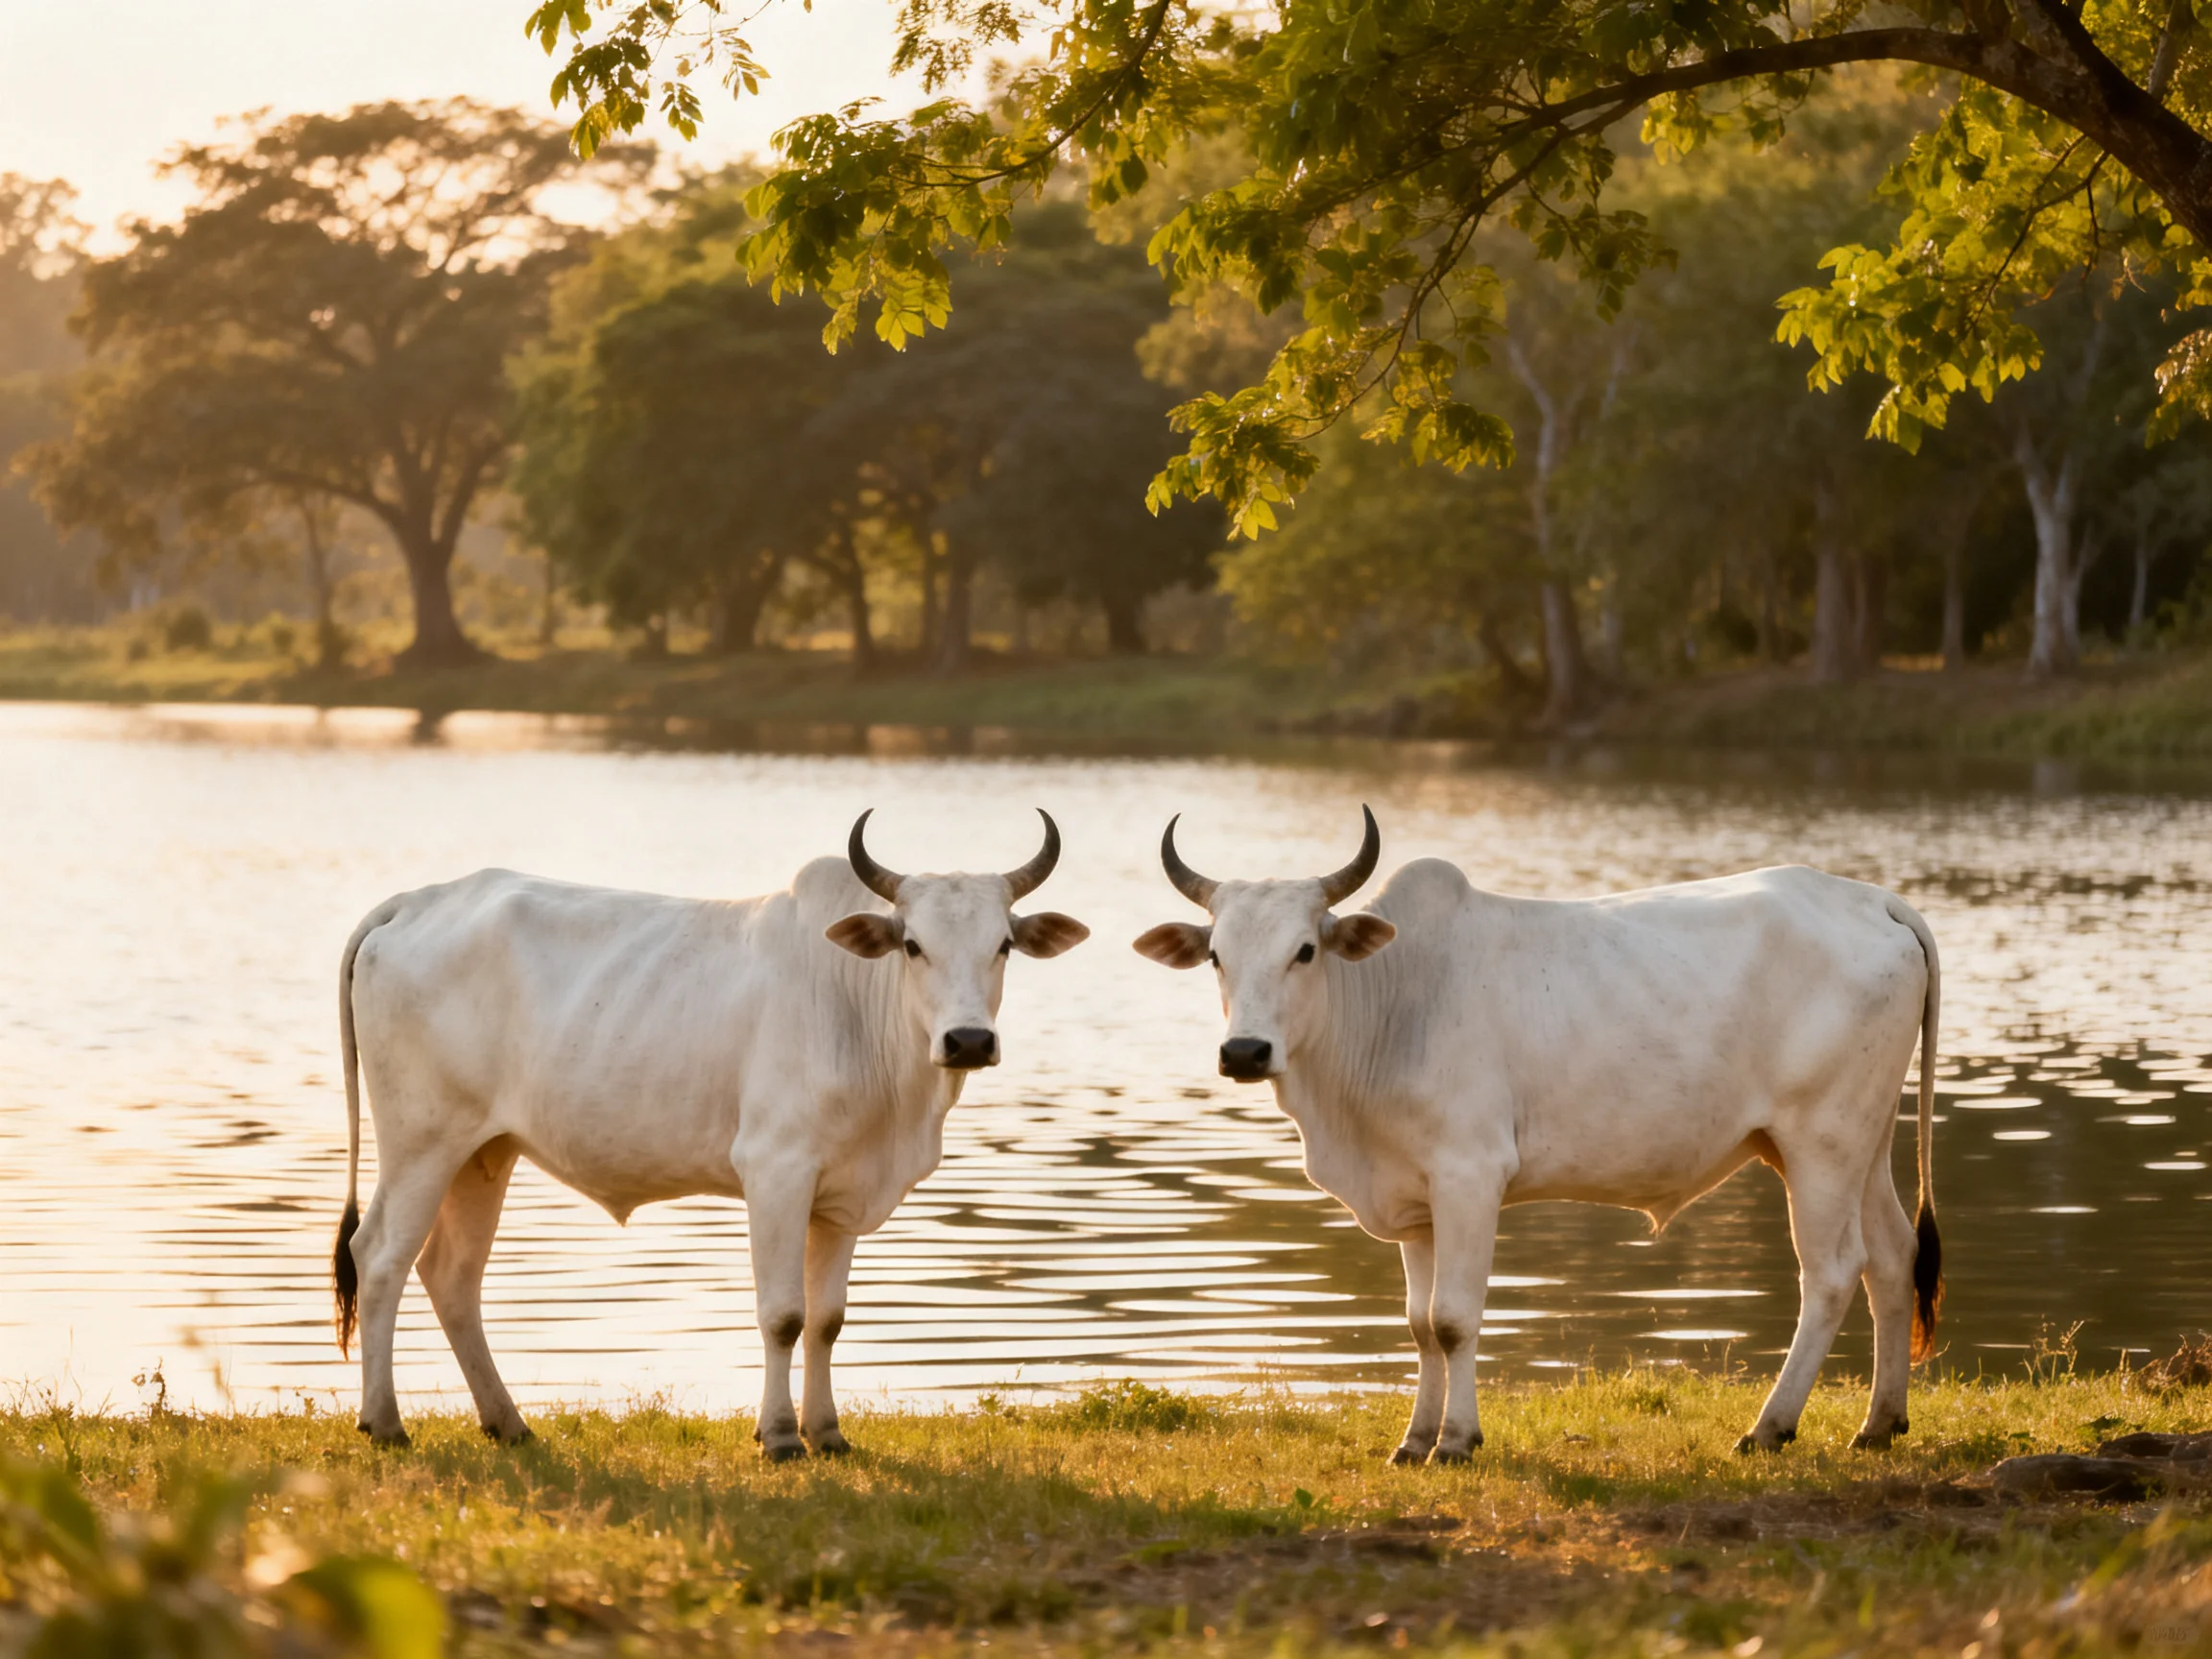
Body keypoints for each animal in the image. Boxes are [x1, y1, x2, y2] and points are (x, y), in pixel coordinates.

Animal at [331, 810, 1089, 1452]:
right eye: (912, 945)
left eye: (1004, 945)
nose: (968, 1040)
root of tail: (417, 901)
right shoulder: (776, 1171)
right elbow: (783, 1314)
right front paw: (779, 1437)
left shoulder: (841, 1194)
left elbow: (828, 1320)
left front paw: (827, 1433)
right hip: (420, 1143)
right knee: (380, 1258)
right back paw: (385, 1422)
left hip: (484, 1153)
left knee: (452, 1275)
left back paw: (508, 1422)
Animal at [1132, 807, 1942, 1462]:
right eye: (1216, 956)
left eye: (1304, 950)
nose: (1244, 1052)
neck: (1390, 1002)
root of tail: (1874, 898)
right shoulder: (1416, 1203)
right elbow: (1418, 1324)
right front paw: (1414, 1441)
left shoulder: (1470, 1176)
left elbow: (1453, 1319)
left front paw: (1456, 1442)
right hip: (1862, 1143)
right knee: (1893, 1258)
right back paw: (1879, 1423)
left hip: (1820, 1144)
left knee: (1832, 1273)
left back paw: (1769, 1427)